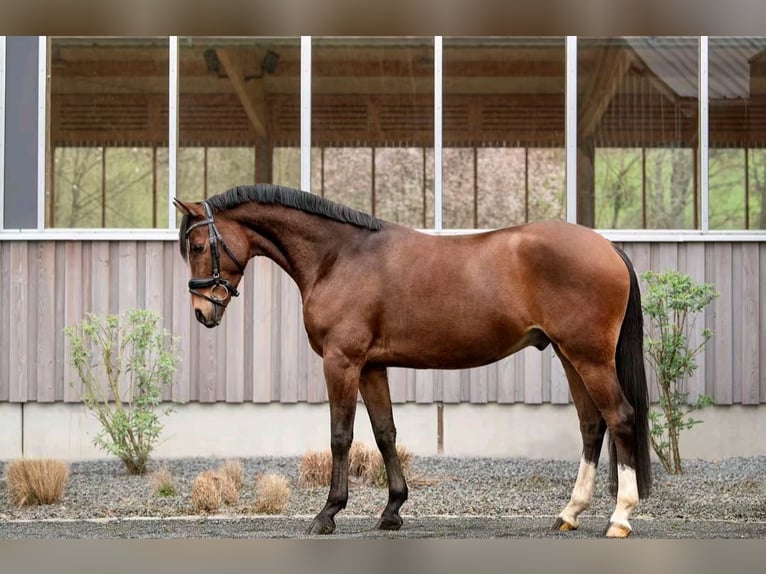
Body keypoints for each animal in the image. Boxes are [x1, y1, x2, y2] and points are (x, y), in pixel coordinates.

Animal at [176, 184, 656, 540]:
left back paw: (619, 517)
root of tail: (608, 247)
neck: (338, 257)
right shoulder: (371, 366)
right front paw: (392, 510)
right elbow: (385, 433)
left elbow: (341, 436)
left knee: (620, 417)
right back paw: (569, 512)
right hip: (568, 354)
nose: (201, 312)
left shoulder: (342, 362)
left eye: (198, 245)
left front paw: (327, 514)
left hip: (589, 356)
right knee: (592, 424)